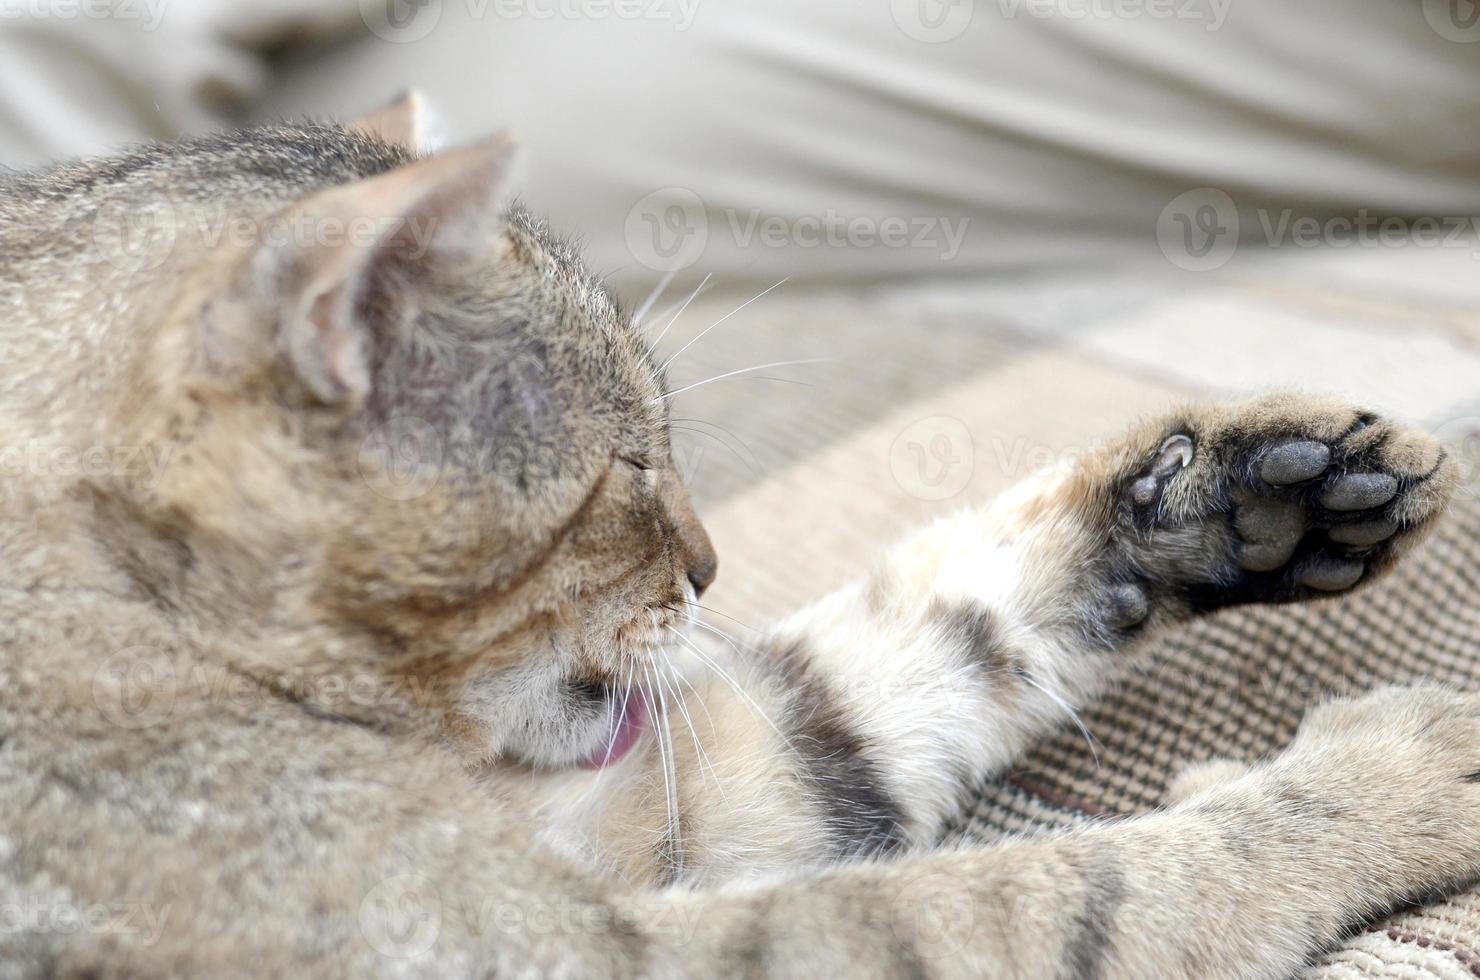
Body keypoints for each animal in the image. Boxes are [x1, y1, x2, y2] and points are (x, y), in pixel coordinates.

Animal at [2, 94, 1480, 980]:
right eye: (627, 470)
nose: (707, 569)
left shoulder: (644, 796)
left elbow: (904, 653)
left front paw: (1241, 499)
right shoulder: (565, 941)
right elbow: (1079, 888)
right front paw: (1391, 776)